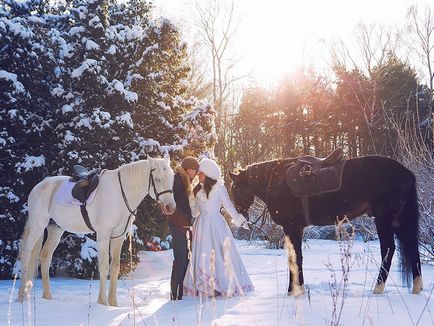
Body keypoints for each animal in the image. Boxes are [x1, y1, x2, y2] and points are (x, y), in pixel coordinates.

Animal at [17, 155, 175, 306]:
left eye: (172, 177)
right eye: (157, 179)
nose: (170, 207)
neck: (120, 194)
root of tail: (38, 187)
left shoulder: (118, 236)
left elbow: (115, 267)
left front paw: (113, 303)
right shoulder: (103, 235)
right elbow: (104, 267)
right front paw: (102, 302)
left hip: (55, 230)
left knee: (45, 257)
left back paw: (48, 297)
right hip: (37, 226)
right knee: (26, 255)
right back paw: (21, 297)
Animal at [231, 153, 424, 296]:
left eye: (235, 189)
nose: (238, 217)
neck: (276, 181)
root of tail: (407, 173)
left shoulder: (291, 226)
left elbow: (294, 258)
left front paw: (294, 291)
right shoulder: (296, 228)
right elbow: (296, 257)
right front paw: (297, 289)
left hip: (384, 218)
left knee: (388, 249)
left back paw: (378, 288)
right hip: (398, 220)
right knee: (412, 247)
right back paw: (416, 288)